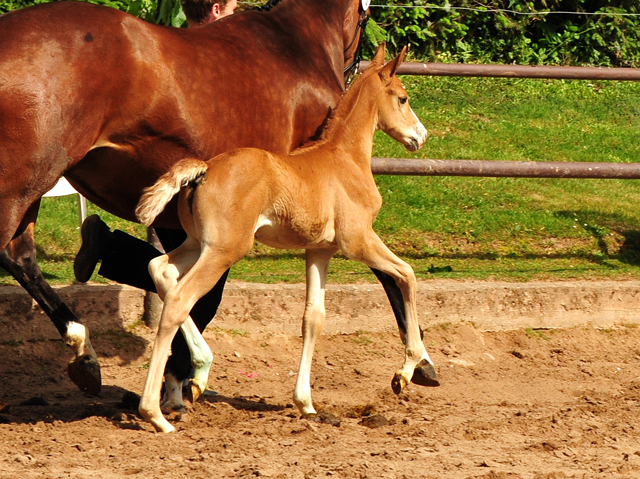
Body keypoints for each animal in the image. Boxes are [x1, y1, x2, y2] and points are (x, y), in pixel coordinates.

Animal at [136, 44, 436, 436]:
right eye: (402, 98)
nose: (421, 136)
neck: (345, 159)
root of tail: (205, 168)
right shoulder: (358, 241)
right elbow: (407, 275)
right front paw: (405, 371)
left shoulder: (319, 251)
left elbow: (313, 318)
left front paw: (305, 403)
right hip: (224, 250)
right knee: (180, 299)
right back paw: (155, 413)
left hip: (198, 244)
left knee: (161, 270)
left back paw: (199, 373)